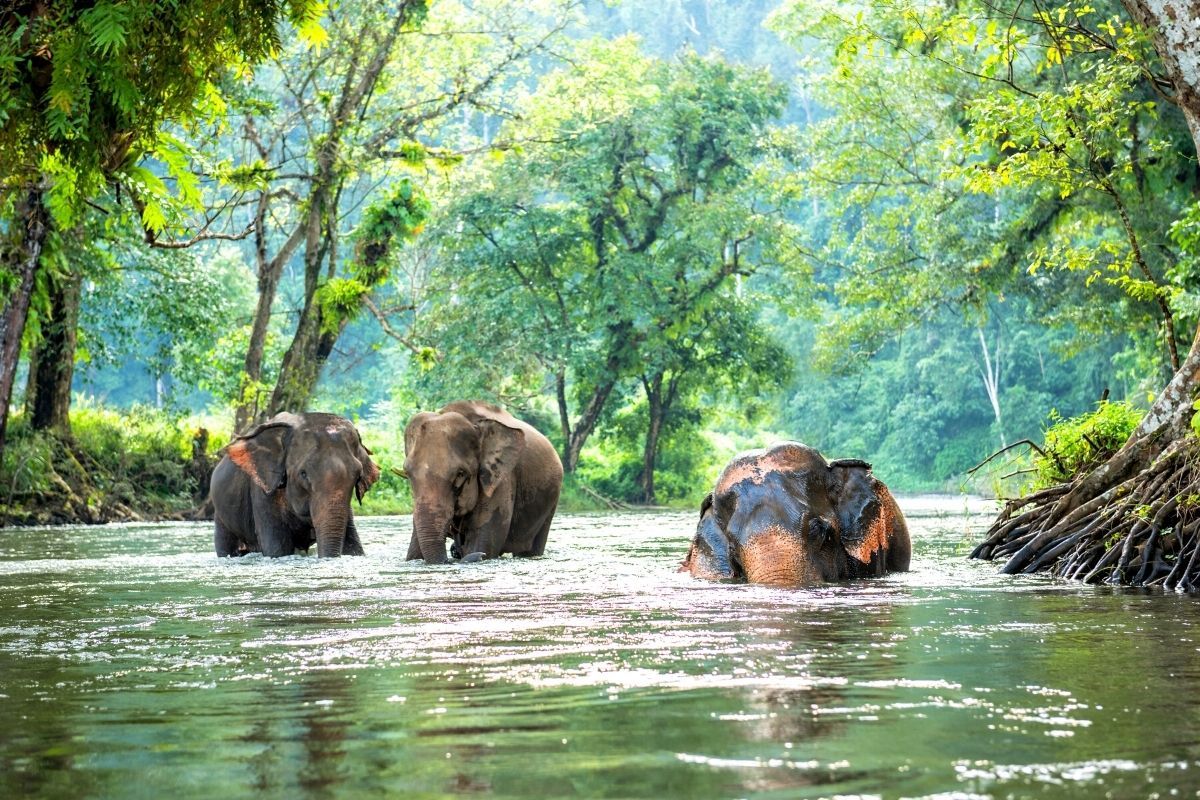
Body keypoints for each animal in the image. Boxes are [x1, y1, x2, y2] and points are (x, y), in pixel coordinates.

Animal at [210, 412, 380, 558]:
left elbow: (353, 546)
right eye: (303, 474)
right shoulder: (263, 492)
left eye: (358, 475)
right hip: (221, 513)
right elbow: (278, 549)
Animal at [402, 400, 563, 564]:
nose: (454, 552)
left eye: (460, 474)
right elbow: (413, 552)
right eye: (407, 473)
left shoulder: (501, 479)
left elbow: (483, 541)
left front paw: (479, 552)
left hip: (550, 503)